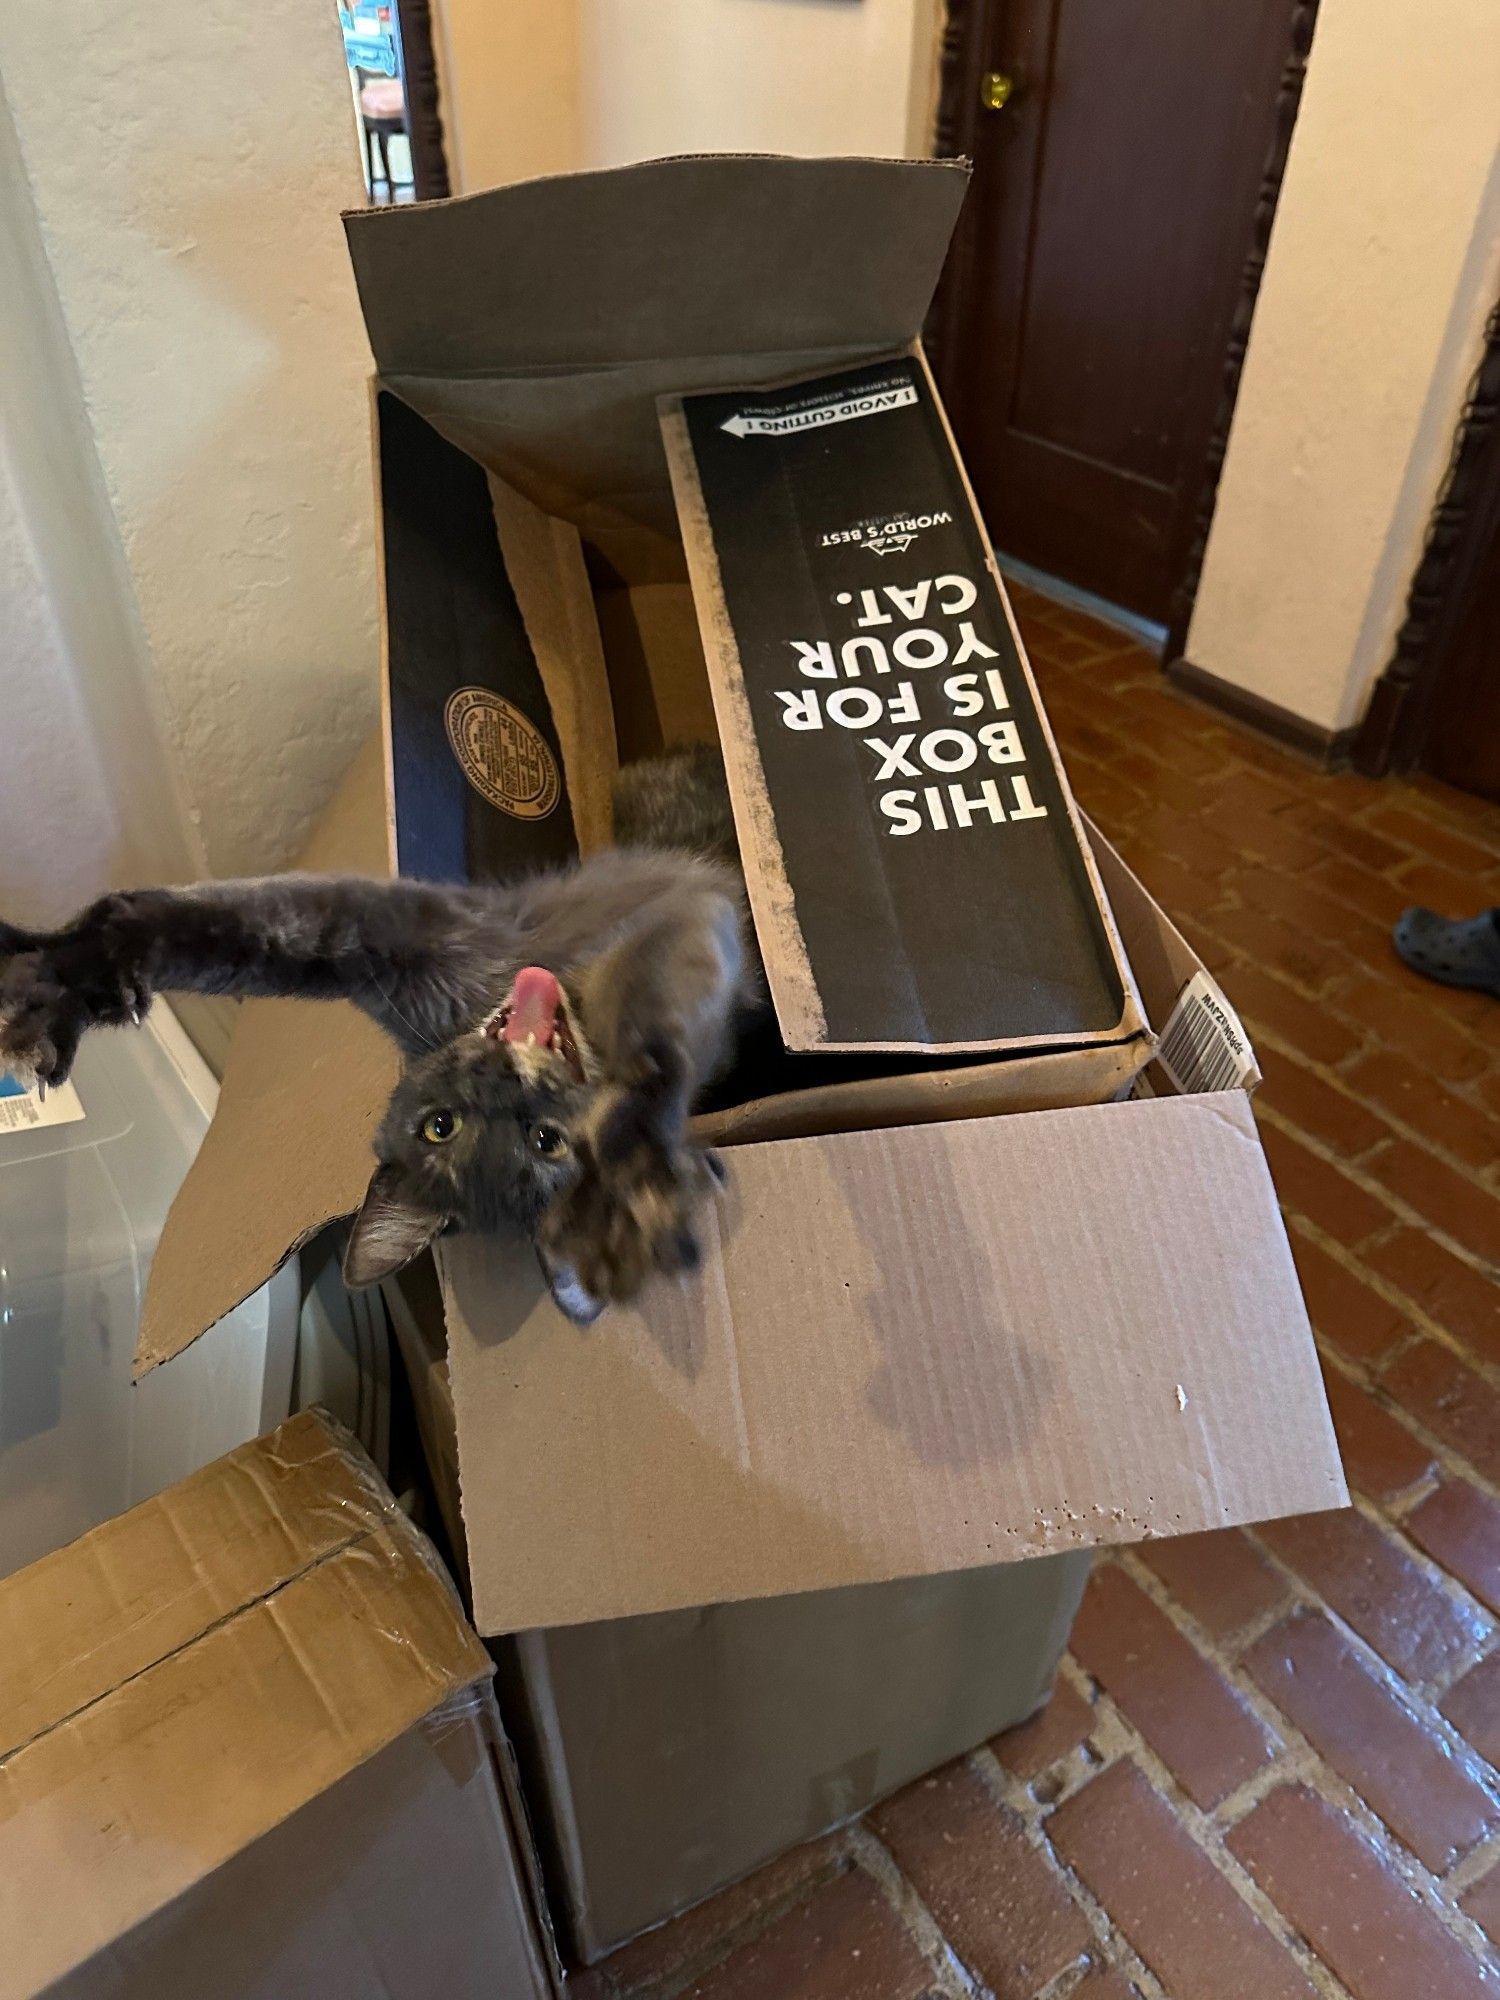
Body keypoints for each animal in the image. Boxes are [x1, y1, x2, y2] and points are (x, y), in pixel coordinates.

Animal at [0, 744, 752, 1320]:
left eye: (546, 1140)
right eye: (441, 1126)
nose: (504, 1082)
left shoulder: (684, 929)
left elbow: (655, 1029)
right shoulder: (388, 947)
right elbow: (230, 938)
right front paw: (60, 989)